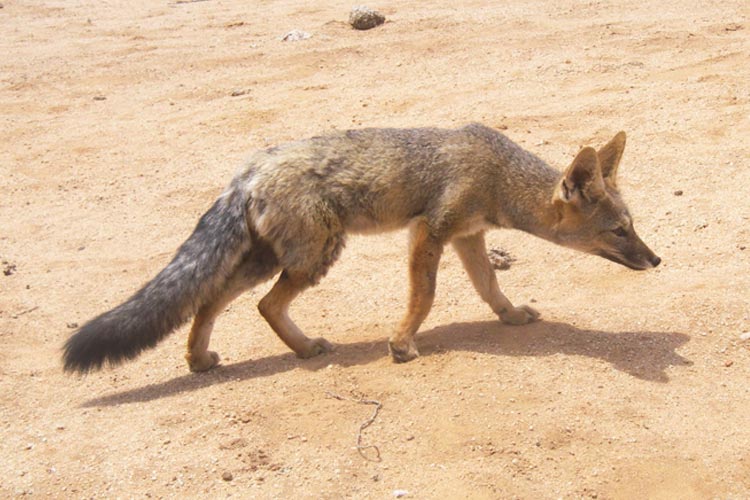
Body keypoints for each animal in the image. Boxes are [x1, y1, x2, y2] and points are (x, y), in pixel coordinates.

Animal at [62, 123, 661, 374]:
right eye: (618, 232)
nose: (656, 260)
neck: (496, 173)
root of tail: (248, 169)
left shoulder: (468, 236)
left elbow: (490, 285)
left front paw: (510, 315)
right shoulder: (431, 233)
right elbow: (425, 297)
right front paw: (401, 344)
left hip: (274, 259)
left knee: (213, 300)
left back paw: (206, 358)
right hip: (315, 255)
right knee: (259, 304)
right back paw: (301, 350)